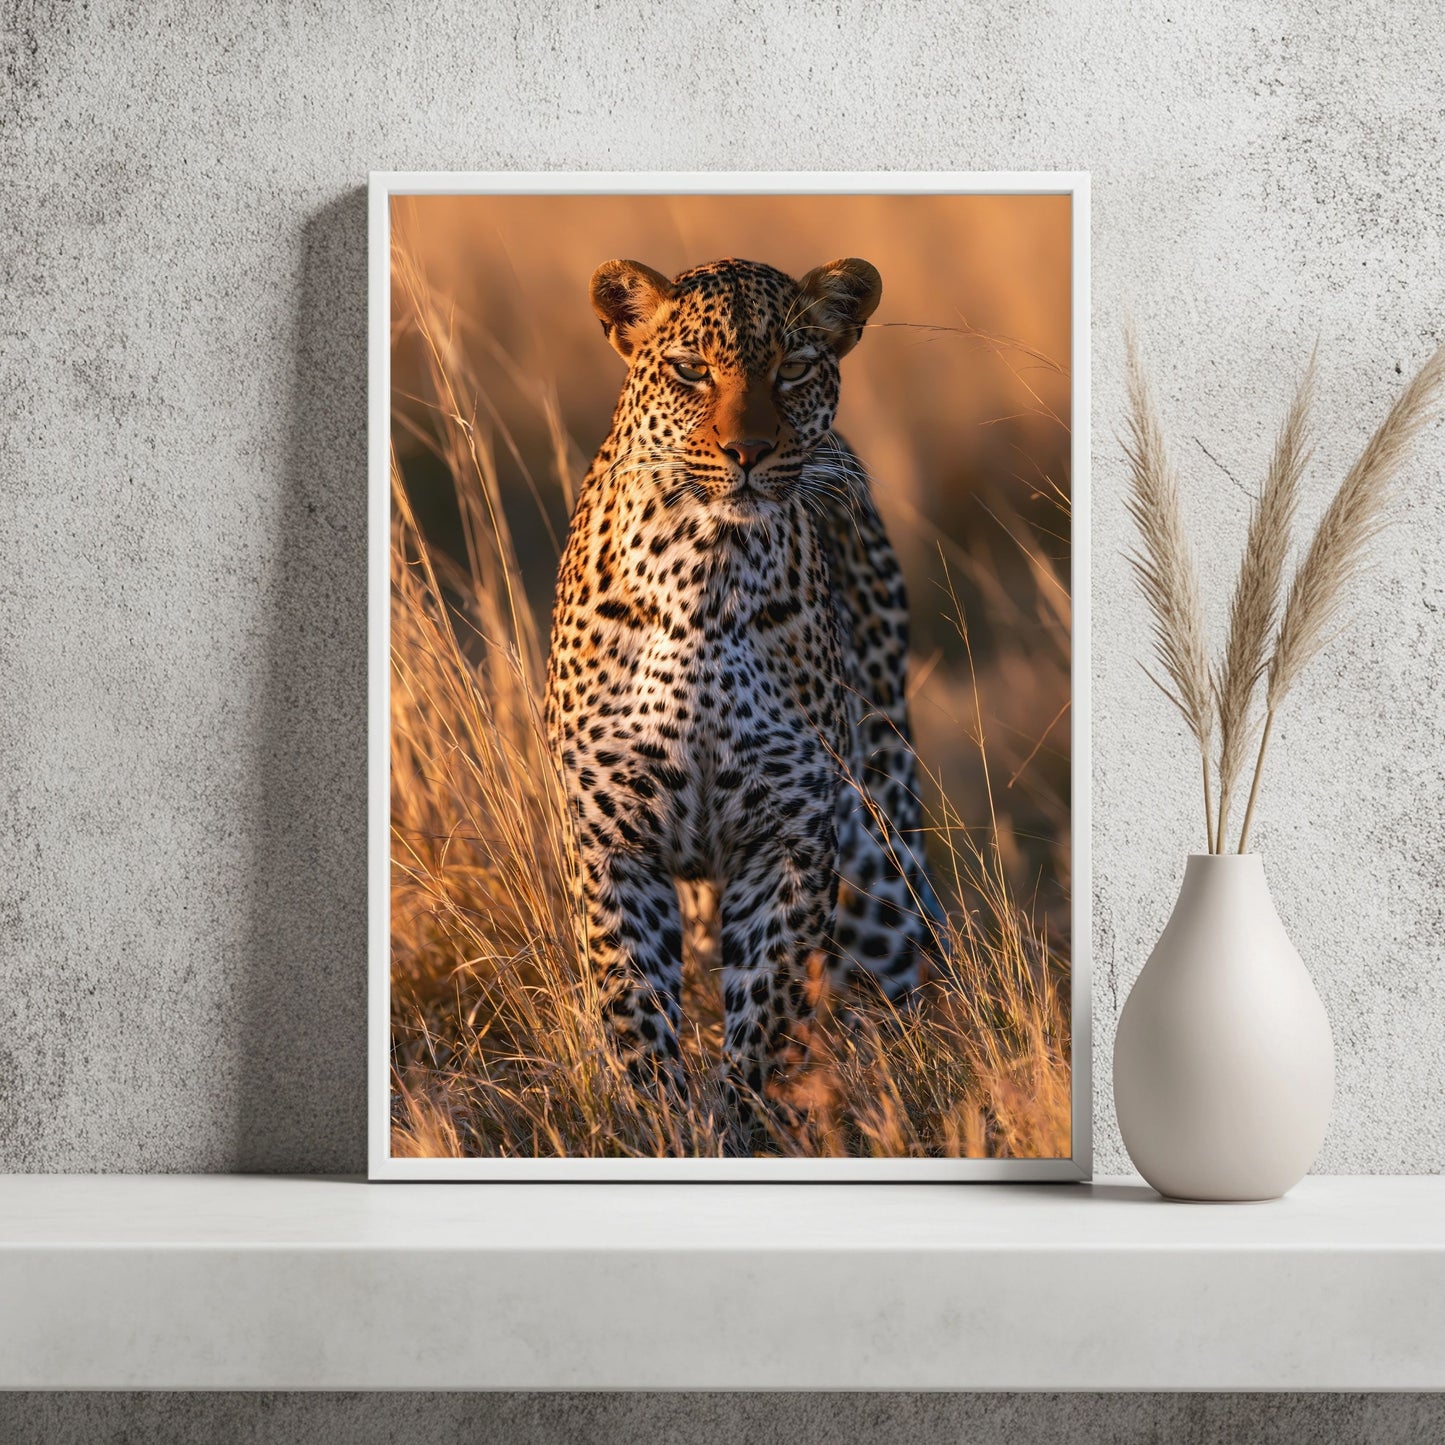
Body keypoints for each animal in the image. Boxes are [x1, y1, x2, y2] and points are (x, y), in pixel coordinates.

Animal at [544, 254, 943, 1118]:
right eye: (691, 370)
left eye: (792, 368)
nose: (748, 452)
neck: (704, 570)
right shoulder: (614, 842)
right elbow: (634, 1007)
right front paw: (659, 1125)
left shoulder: (789, 840)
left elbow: (765, 1013)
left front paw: (737, 1125)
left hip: (879, 855)